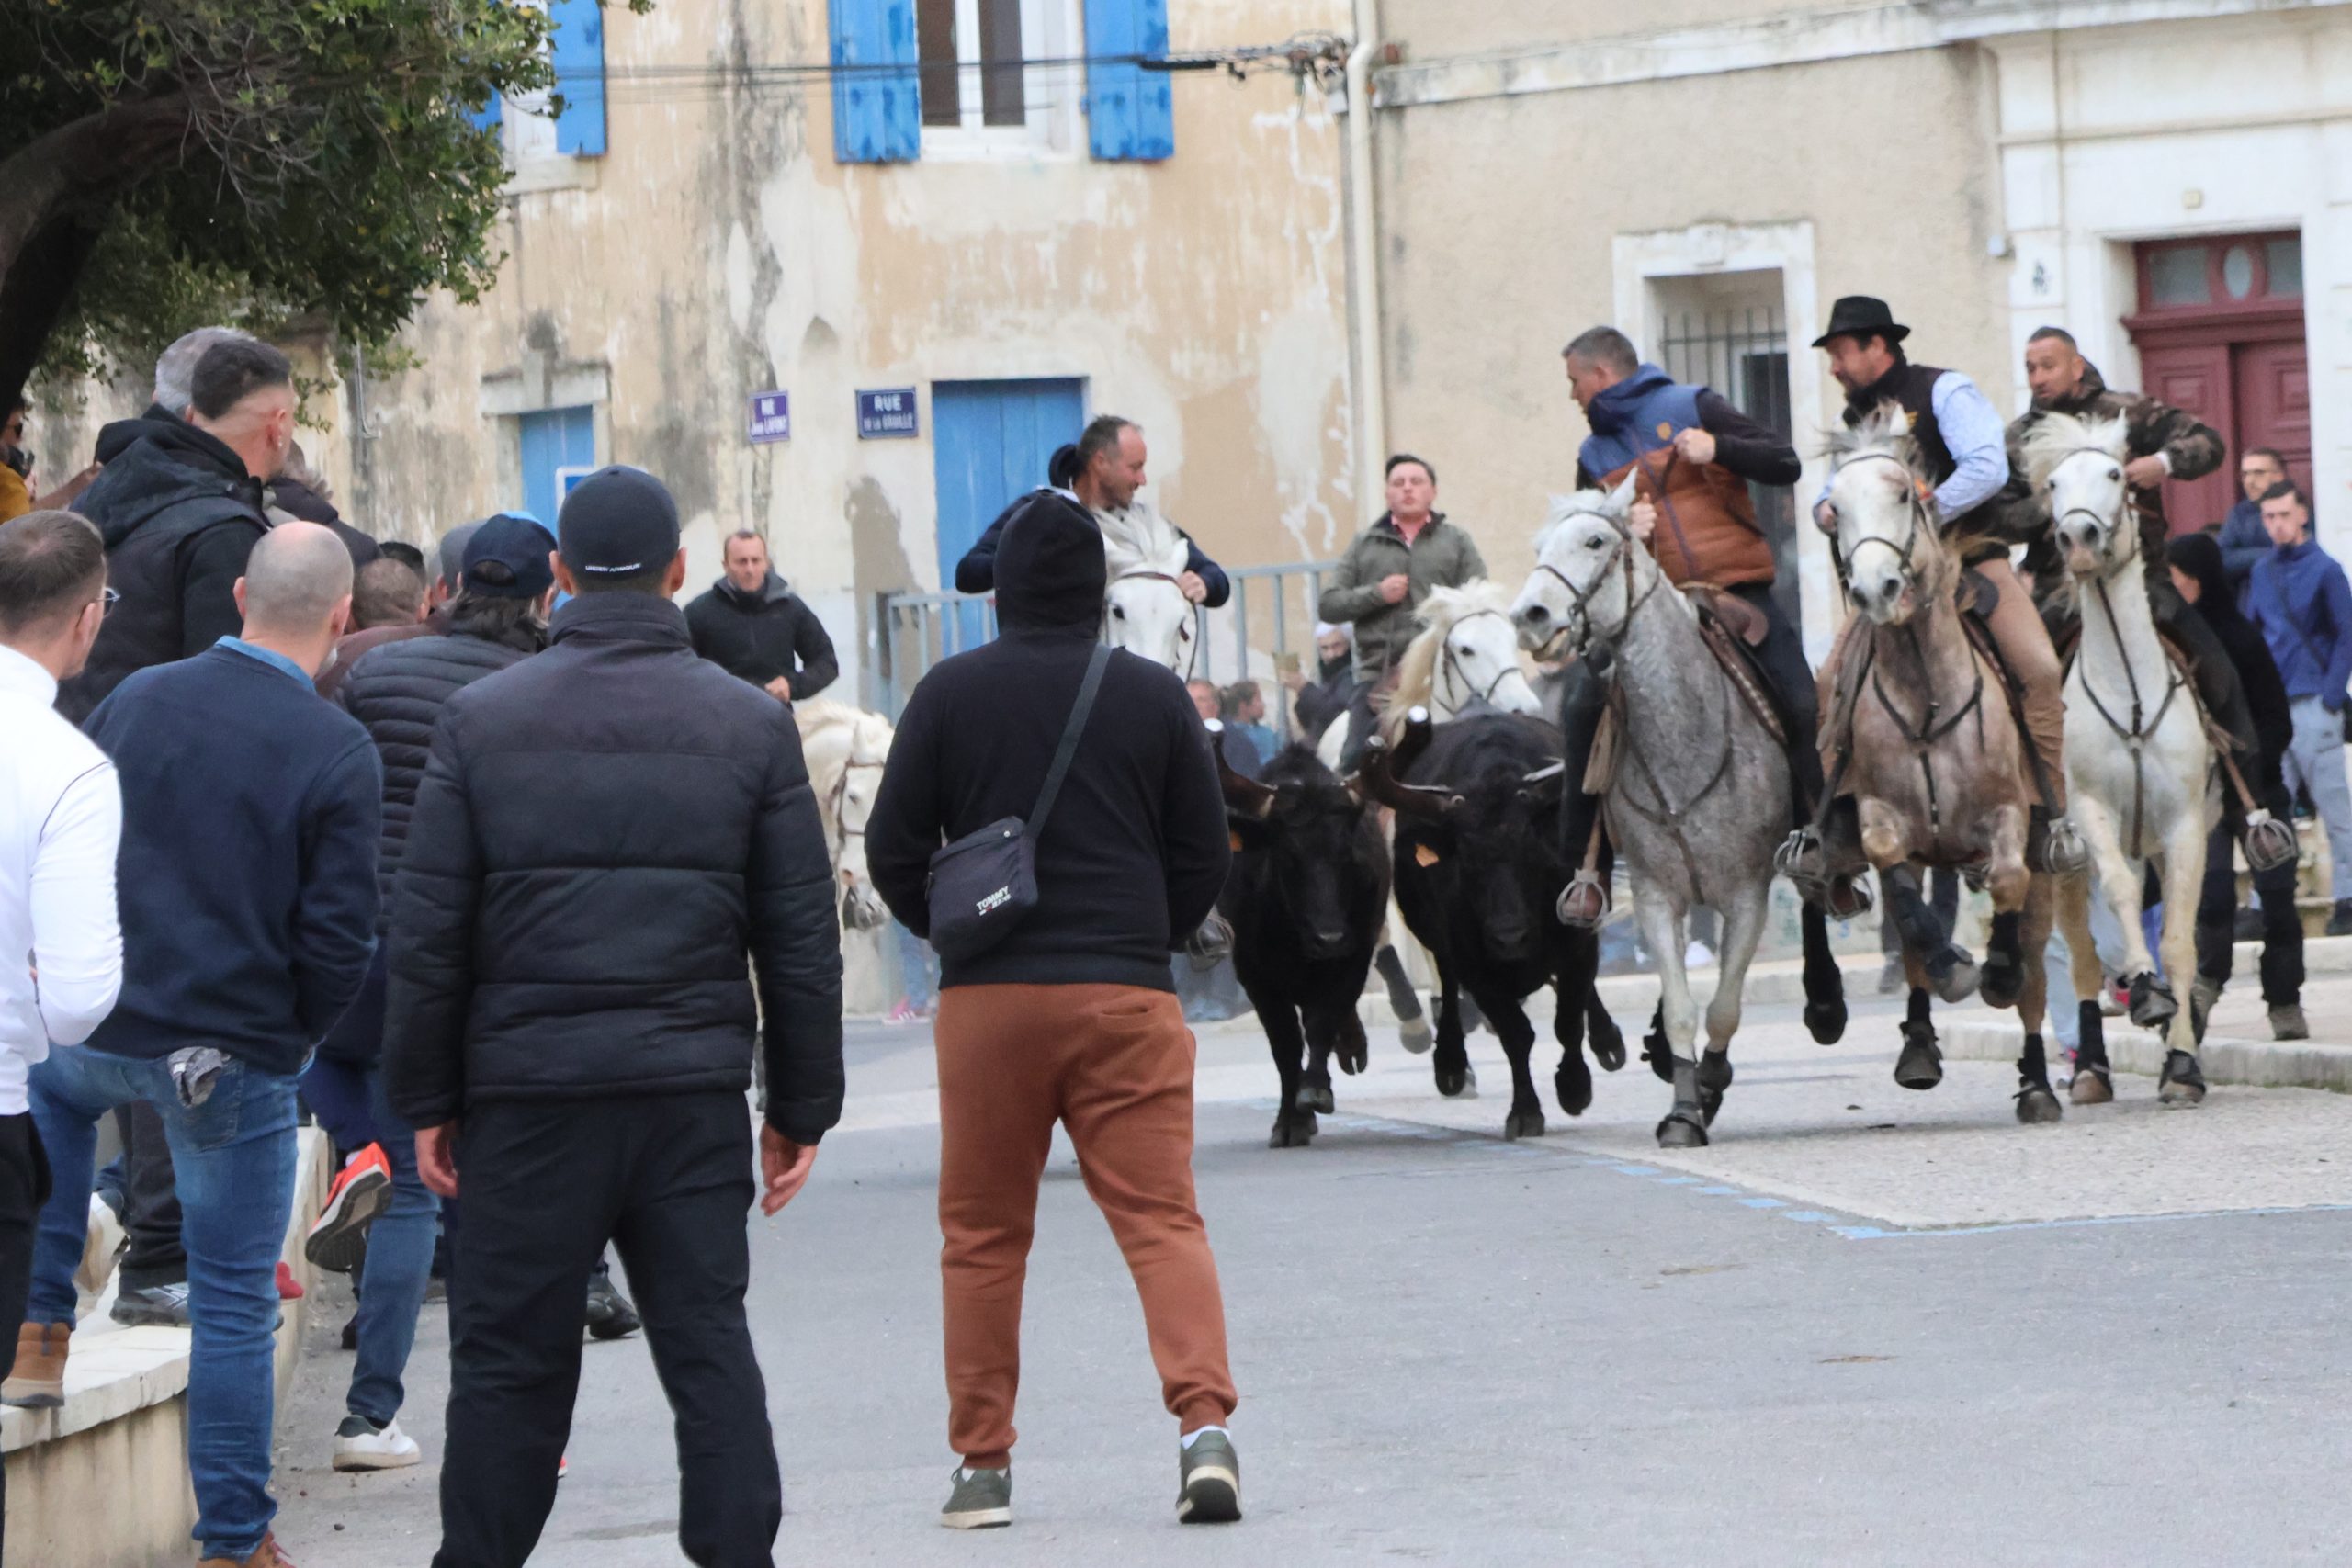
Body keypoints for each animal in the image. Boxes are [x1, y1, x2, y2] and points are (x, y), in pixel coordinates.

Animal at [1215, 732, 1392, 1149]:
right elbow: (1285, 1045)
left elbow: (1321, 1025)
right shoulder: (1255, 977)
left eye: (1346, 854)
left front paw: (1314, 1090)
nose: (1329, 938)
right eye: (1288, 855)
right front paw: (1289, 1122)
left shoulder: (1353, 960)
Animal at [1361, 708, 1622, 1139]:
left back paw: (1608, 1042)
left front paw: (1574, 1088)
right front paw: (1525, 1112)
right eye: (1466, 859)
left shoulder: (1580, 941)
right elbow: (1516, 1034)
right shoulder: (1475, 966)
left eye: (1533, 852)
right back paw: (1450, 1064)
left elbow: (1568, 1021)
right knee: (1448, 987)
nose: (1509, 937)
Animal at [1510, 481, 1833, 1147]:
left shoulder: (1746, 895)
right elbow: (1684, 1008)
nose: (1529, 616)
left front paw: (1708, 1083)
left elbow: (1725, 1008)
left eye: (1596, 540)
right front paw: (1686, 1108)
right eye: (1538, 544)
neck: (1685, 731)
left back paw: (1824, 1002)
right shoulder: (1658, 896)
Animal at [1820, 405, 2062, 1123]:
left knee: (2035, 976)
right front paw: (1953, 965)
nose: (1877, 589)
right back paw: (1921, 1048)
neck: (1926, 692)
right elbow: (1908, 911)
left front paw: (1996, 972)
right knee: (1911, 945)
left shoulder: (2010, 817)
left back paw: (2037, 1083)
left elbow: (2008, 884)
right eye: (1835, 508)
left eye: (1904, 494)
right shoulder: (1882, 820)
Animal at [2021, 411, 2218, 1105]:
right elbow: (2123, 902)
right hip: (2064, 863)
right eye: (2053, 483)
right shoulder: (2089, 813)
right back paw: (2090, 1068)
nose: (2077, 537)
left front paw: (2182, 1063)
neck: (2128, 695)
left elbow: (2182, 943)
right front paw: (2143, 986)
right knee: (2082, 956)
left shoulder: (2185, 825)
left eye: (2115, 474)